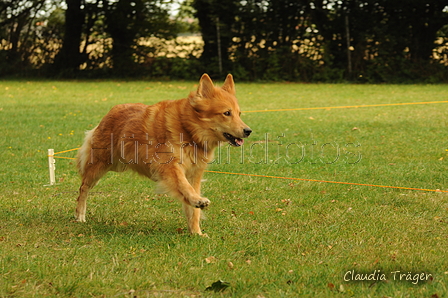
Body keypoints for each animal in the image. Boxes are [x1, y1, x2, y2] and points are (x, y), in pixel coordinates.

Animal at [76, 74, 252, 235]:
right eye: (227, 113)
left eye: (239, 114)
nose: (248, 131)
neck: (189, 130)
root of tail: (112, 110)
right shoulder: (169, 167)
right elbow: (184, 186)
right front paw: (197, 200)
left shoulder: (194, 174)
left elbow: (192, 208)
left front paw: (196, 232)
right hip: (100, 165)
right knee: (83, 187)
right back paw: (79, 215)